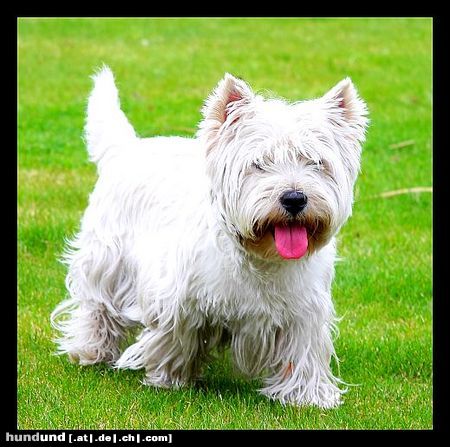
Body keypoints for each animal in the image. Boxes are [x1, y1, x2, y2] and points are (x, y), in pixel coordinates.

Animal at [51, 67, 370, 410]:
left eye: (316, 162)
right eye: (259, 163)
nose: (294, 198)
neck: (261, 256)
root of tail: (126, 149)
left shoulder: (304, 308)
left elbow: (302, 349)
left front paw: (307, 396)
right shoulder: (179, 298)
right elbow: (175, 337)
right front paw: (170, 379)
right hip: (106, 259)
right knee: (96, 306)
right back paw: (92, 350)